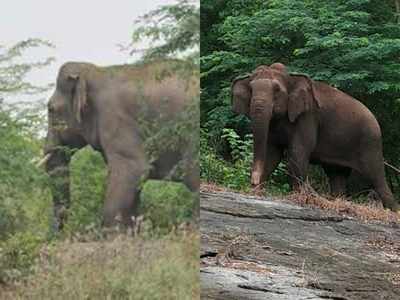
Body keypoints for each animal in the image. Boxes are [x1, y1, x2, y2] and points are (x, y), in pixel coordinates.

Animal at [231, 61, 400, 211]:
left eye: (277, 90)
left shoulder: (308, 116)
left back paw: (393, 210)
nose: (253, 183)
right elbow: (272, 154)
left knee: (376, 177)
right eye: (251, 89)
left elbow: (297, 152)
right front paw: (257, 192)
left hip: (370, 142)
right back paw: (336, 200)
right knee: (337, 175)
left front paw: (299, 196)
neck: (292, 77)